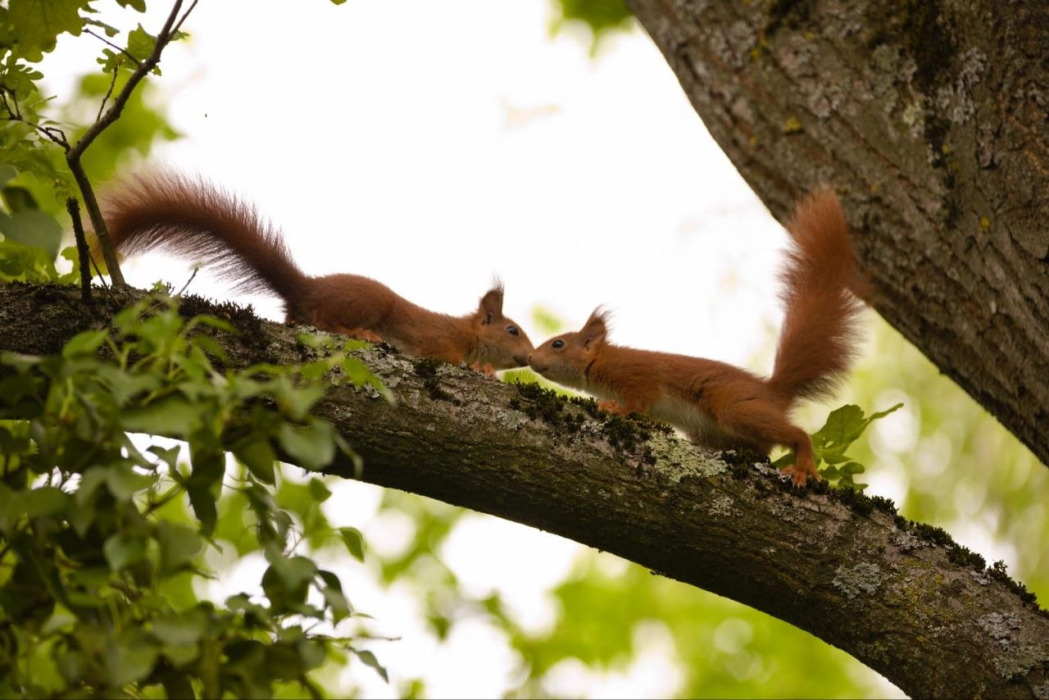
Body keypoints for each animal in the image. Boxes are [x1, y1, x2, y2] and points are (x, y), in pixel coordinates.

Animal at [98, 170, 534, 372]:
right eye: (512, 330)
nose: (530, 357)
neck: (467, 334)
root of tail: (306, 289)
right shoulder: (438, 341)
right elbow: (447, 357)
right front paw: (479, 367)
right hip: (368, 302)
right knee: (326, 319)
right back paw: (358, 332)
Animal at [527, 188, 865, 486]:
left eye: (558, 344)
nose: (530, 357)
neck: (600, 363)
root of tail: (773, 391)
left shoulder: (636, 375)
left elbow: (639, 399)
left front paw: (617, 409)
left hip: (737, 407)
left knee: (797, 434)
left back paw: (803, 466)